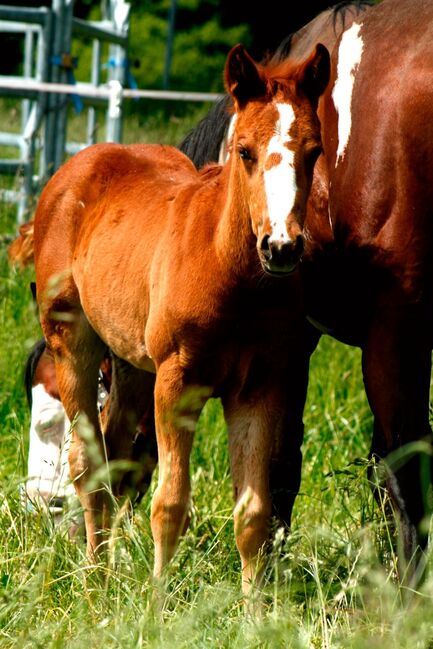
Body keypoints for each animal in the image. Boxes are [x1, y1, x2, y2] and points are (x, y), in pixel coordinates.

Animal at [32, 43, 330, 596]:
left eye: (315, 151)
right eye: (244, 151)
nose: (280, 246)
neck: (228, 272)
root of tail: (77, 165)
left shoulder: (259, 386)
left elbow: (252, 513)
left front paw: (255, 608)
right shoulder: (176, 382)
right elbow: (169, 505)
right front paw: (156, 602)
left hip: (130, 360)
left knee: (116, 450)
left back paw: (109, 567)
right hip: (71, 341)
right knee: (88, 462)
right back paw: (95, 577)